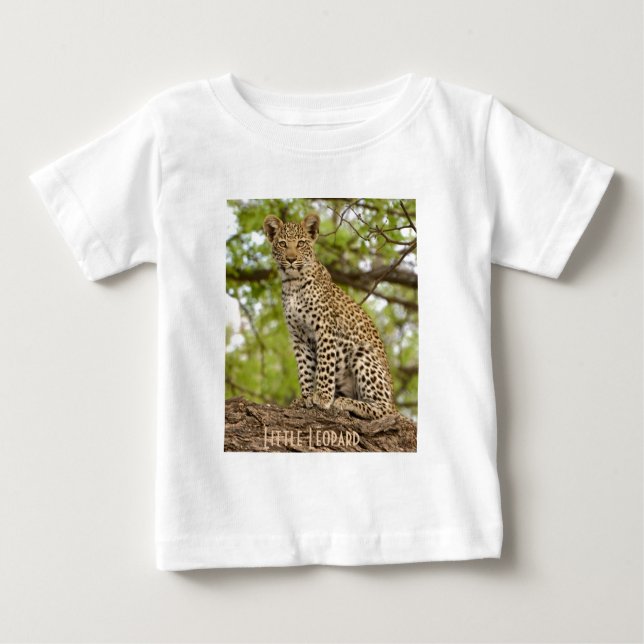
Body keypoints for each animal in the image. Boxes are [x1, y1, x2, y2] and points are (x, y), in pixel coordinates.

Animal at [262, 212, 396, 420]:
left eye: (301, 243)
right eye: (283, 244)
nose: (291, 259)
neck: (292, 283)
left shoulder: (324, 328)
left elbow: (324, 365)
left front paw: (323, 397)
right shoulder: (298, 337)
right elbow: (305, 369)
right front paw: (306, 398)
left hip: (363, 352)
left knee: (383, 410)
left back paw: (346, 402)